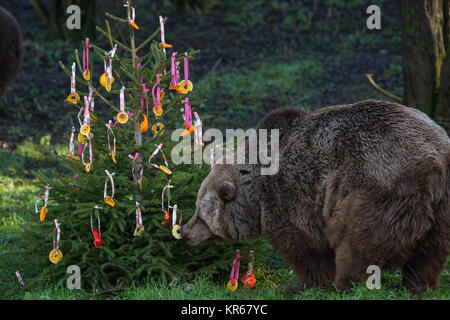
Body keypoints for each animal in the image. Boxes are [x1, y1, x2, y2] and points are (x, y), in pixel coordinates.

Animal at [182, 100, 450, 296]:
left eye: (200, 212)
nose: (184, 232)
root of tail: (432, 162)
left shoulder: (289, 193)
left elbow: (304, 246)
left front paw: (306, 284)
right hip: (441, 208)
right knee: (430, 253)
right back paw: (418, 286)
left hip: (374, 186)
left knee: (359, 242)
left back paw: (346, 284)